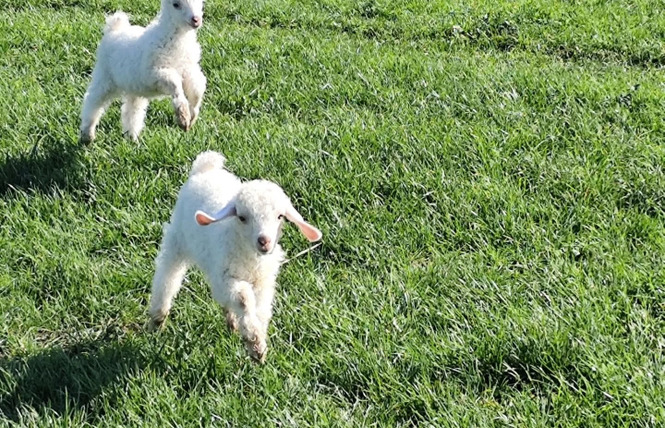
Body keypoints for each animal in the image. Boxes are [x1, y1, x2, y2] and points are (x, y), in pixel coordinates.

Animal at [79, 0, 206, 143]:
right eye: (176, 5)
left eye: (199, 2)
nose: (196, 20)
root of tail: (114, 28)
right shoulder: (154, 73)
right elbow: (174, 83)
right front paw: (183, 117)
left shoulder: (190, 70)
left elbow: (197, 89)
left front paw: (192, 116)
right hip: (105, 76)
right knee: (93, 101)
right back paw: (87, 134)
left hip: (134, 87)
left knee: (132, 110)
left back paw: (132, 138)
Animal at [148, 151, 322, 363]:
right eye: (242, 217)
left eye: (280, 216)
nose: (264, 241)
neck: (250, 258)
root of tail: (205, 167)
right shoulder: (225, 277)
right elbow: (243, 298)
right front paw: (254, 342)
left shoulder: (263, 281)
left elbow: (260, 309)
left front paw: (257, 344)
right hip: (177, 240)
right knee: (167, 276)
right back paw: (157, 318)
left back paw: (231, 322)